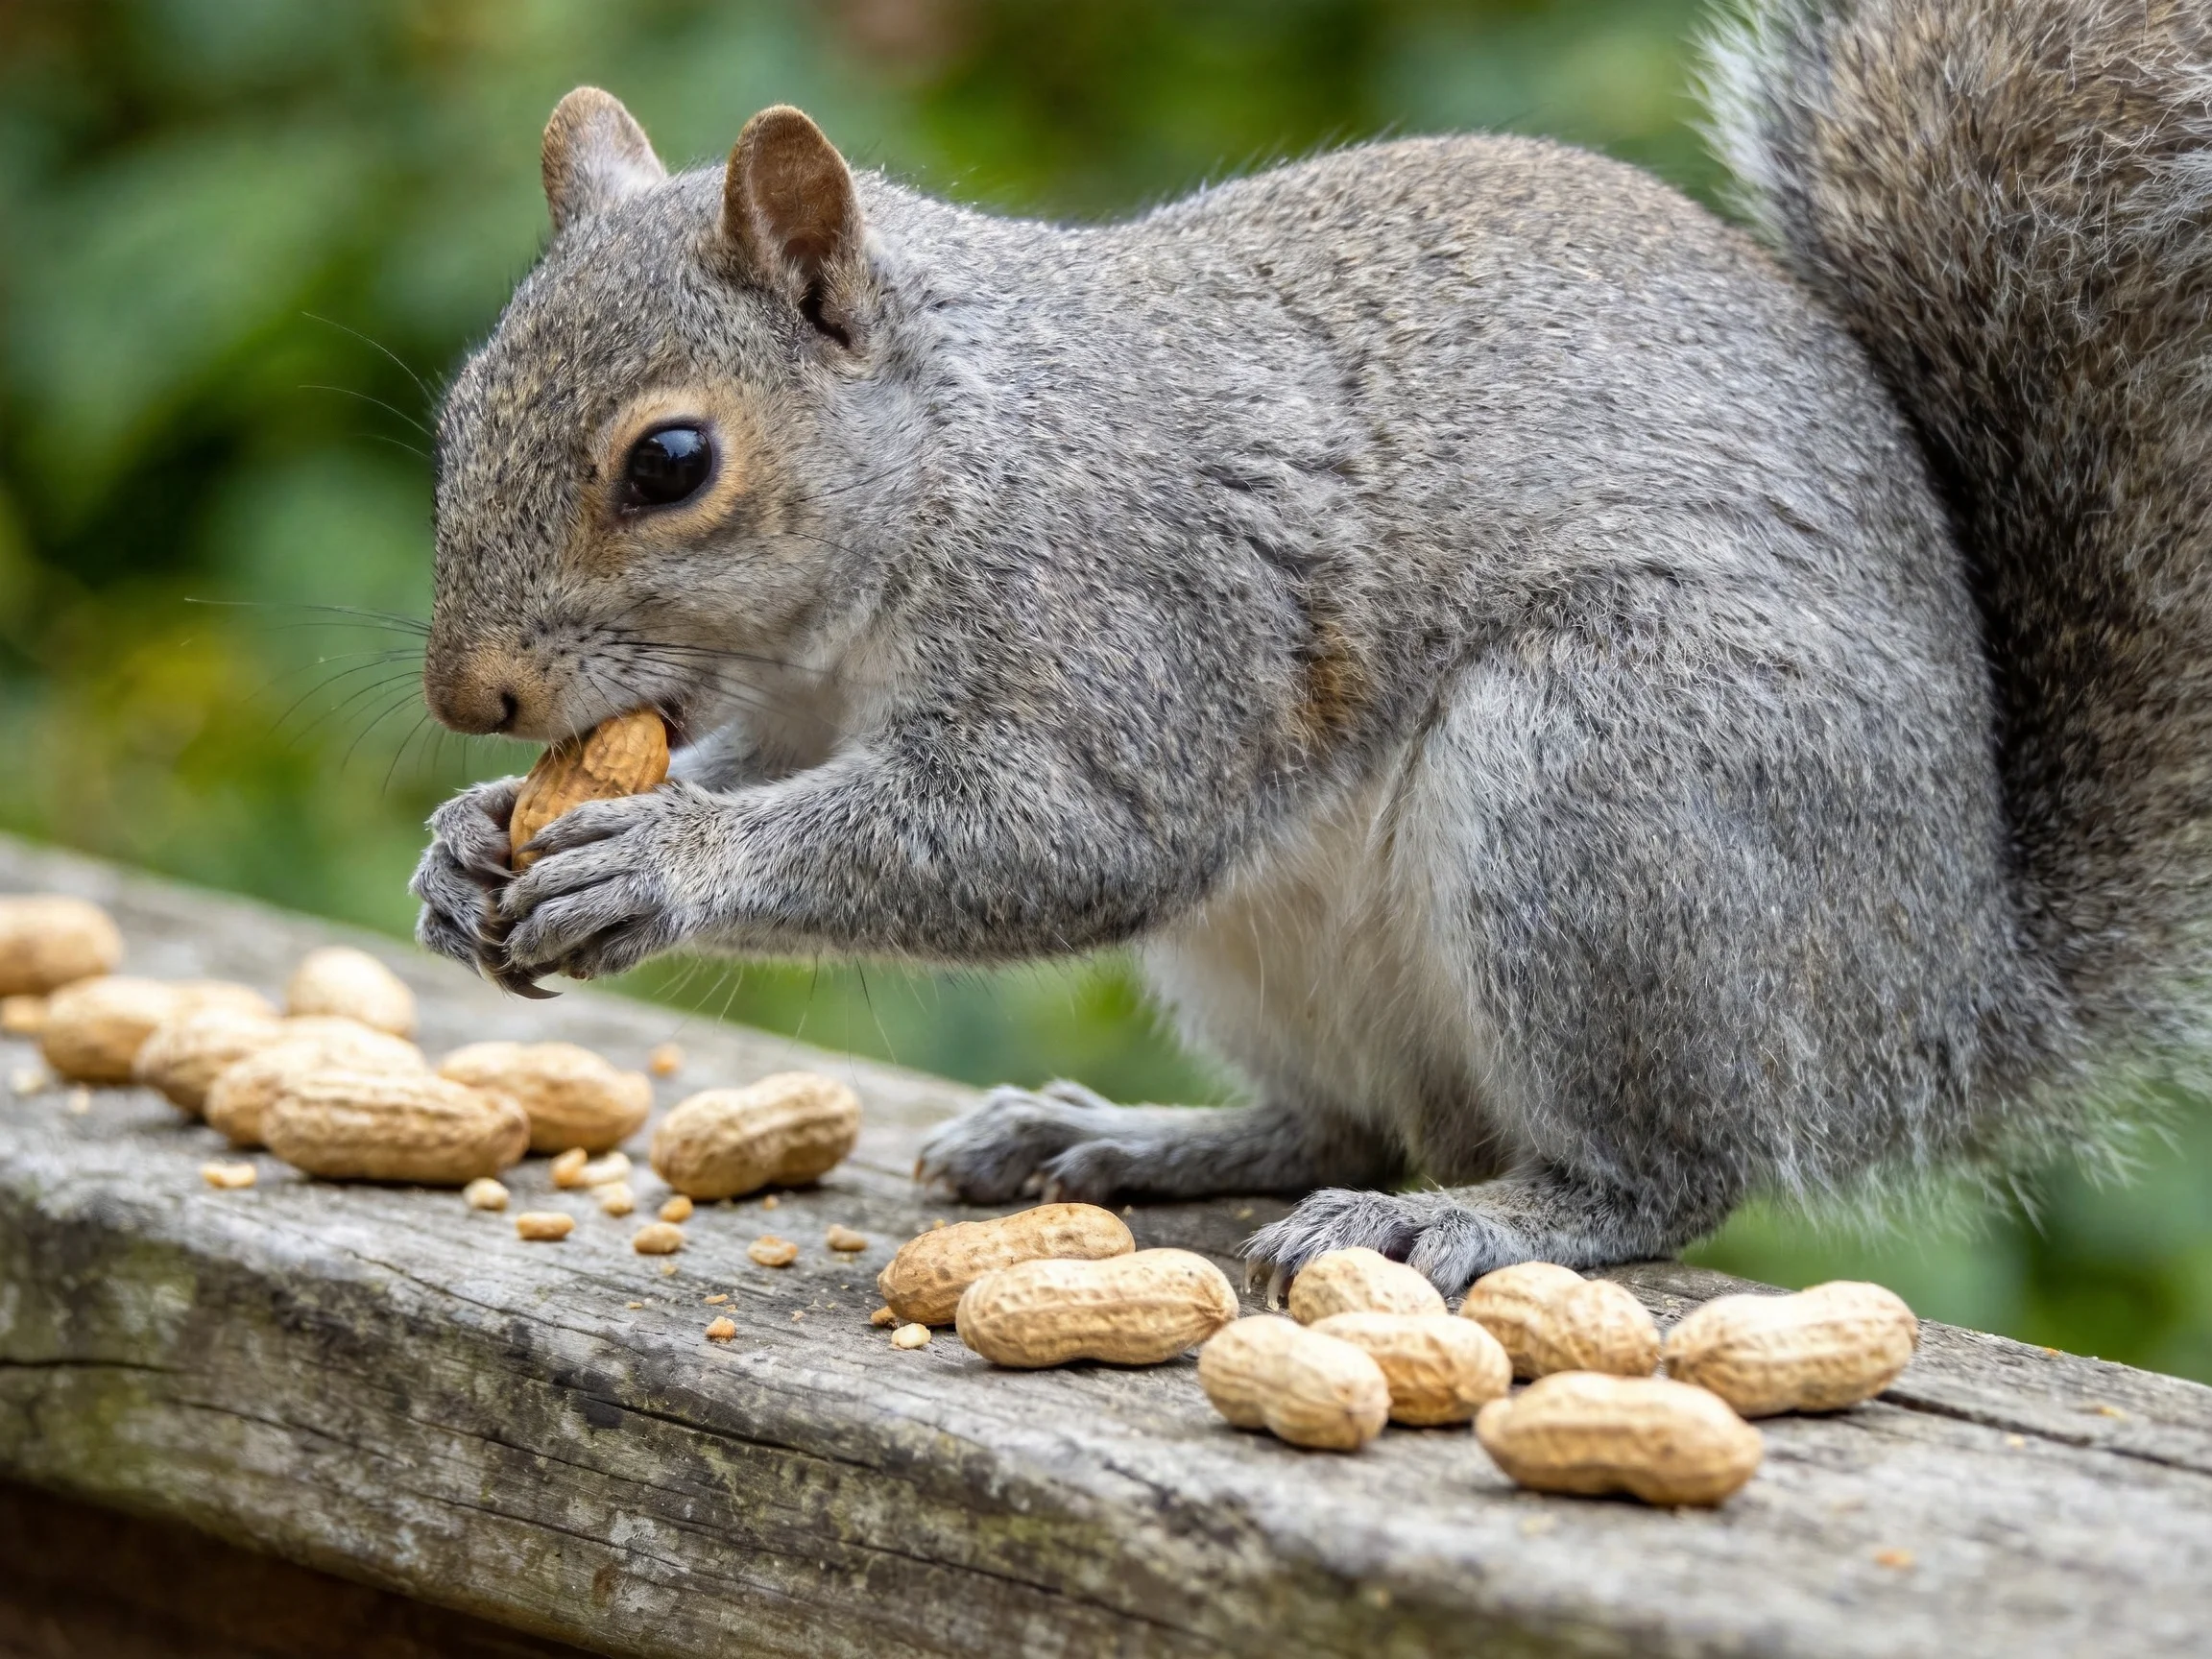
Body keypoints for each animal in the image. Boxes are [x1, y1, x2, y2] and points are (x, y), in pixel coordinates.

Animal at [412, 0, 2212, 1295]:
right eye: (458, 408)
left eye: (670, 462)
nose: (468, 696)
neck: (955, 457)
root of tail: (1950, 996)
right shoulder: (795, 704)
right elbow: (763, 764)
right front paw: (470, 842)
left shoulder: (1138, 626)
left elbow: (1042, 835)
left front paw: (657, 857)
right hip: (1273, 946)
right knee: (1348, 1118)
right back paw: (1120, 1140)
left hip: (1608, 789)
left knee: (1660, 1169)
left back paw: (1481, 1220)